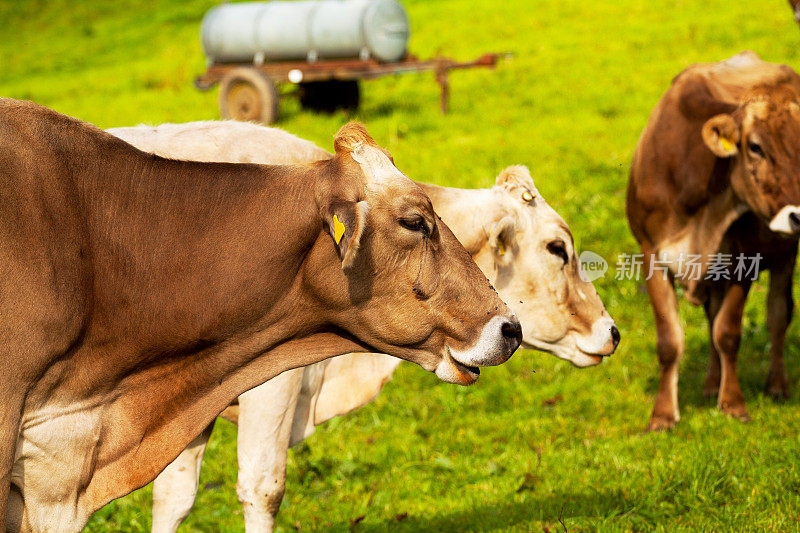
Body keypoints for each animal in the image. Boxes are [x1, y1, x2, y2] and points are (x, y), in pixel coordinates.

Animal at [628, 50, 800, 430]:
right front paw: (663, 415)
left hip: (785, 254)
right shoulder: (650, 253)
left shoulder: (744, 257)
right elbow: (670, 340)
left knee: (778, 315)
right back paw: (709, 384)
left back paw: (777, 385)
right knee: (710, 315)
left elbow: (728, 332)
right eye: (755, 147)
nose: (798, 215)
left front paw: (733, 403)